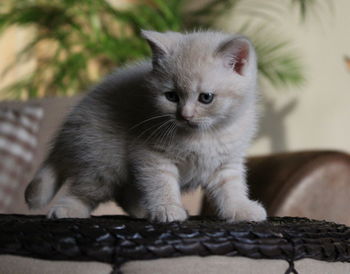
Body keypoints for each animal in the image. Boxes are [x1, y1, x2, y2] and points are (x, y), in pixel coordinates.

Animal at [24, 30, 266, 223]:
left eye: (206, 98)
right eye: (171, 96)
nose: (184, 115)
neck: (203, 136)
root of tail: (68, 130)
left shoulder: (226, 161)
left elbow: (231, 187)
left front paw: (241, 210)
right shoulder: (151, 154)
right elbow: (162, 183)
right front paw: (168, 209)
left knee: (126, 194)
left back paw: (143, 211)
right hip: (103, 160)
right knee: (86, 191)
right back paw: (68, 210)